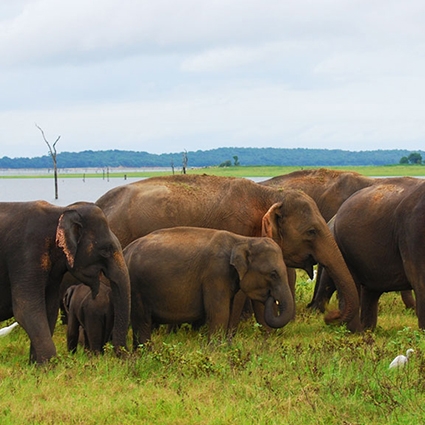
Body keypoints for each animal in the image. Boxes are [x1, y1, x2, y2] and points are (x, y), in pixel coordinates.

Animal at [0, 200, 131, 362]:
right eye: (105, 250)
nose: (125, 356)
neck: (61, 211)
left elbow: (49, 308)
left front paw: (36, 365)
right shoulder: (26, 254)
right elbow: (25, 309)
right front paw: (49, 365)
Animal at [97, 172, 362, 332]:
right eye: (311, 232)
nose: (330, 316)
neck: (268, 194)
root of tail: (100, 203)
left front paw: (266, 333)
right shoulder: (236, 229)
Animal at [124, 227, 294, 346]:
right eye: (273, 274)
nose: (271, 297)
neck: (243, 240)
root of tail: (125, 250)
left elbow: (228, 310)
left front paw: (226, 346)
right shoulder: (215, 273)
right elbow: (220, 312)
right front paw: (215, 349)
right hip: (136, 287)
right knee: (142, 321)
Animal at [312, 177, 424, 330]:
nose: (331, 315)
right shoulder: (412, 231)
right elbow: (420, 280)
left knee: (370, 291)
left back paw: (367, 330)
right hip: (343, 247)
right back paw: (355, 331)